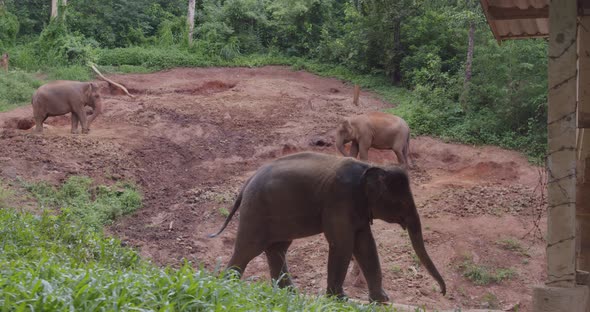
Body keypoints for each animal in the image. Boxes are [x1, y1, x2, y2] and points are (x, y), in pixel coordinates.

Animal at [210, 151, 446, 302]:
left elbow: (365, 245)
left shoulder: (357, 208)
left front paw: (382, 300)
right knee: (248, 248)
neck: (370, 167)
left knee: (277, 248)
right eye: (403, 203)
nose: (442, 292)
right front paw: (339, 299)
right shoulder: (340, 199)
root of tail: (246, 183)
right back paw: (228, 287)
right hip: (256, 211)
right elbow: (343, 244)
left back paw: (290, 294)